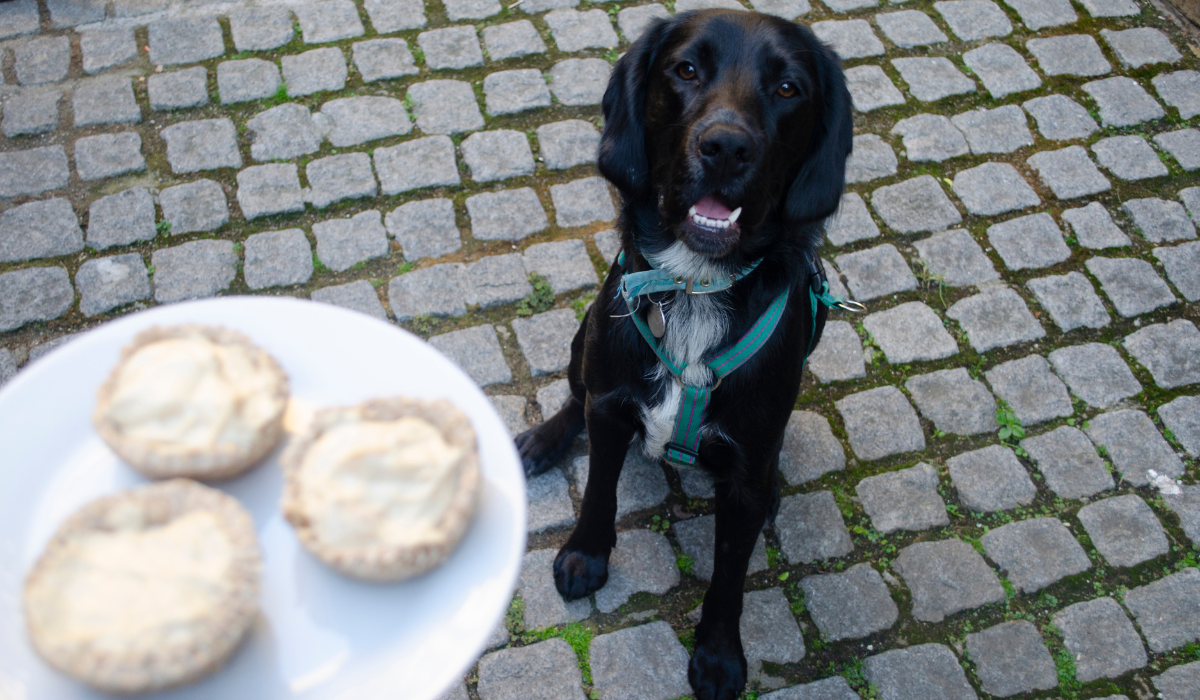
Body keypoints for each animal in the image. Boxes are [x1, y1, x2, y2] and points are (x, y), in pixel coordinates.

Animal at [516, 10, 854, 700]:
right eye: (687, 69)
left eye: (788, 88)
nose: (725, 147)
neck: (698, 285)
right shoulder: (611, 405)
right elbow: (598, 491)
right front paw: (585, 555)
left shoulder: (745, 474)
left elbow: (729, 579)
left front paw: (719, 656)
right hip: (585, 335)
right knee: (574, 392)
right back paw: (542, 440)